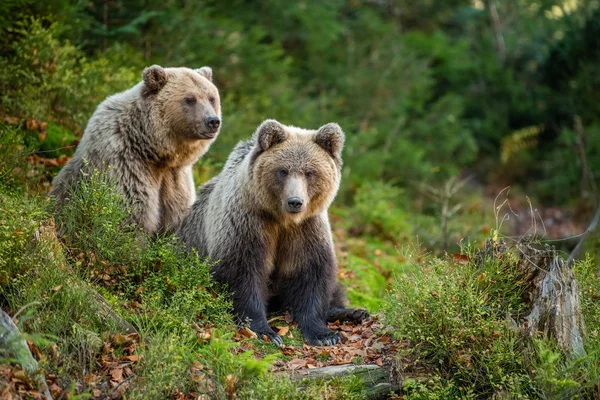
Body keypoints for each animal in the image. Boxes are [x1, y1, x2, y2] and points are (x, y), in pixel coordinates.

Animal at [48, 65, 219, 234]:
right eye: (190, 99)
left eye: (211, 98)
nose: (213, 121)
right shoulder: (126, 163)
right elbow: (131, 213)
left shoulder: (175, 176)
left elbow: (176, 212)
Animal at [176, 119, 368, 346]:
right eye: (283, 171)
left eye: (310, 172)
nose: (295, 202)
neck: (281, 219)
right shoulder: (248, 222)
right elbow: (243, 272)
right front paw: (265, 332)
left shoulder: (306, 229)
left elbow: (311, 274)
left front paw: (325, 334)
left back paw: (353, 312)